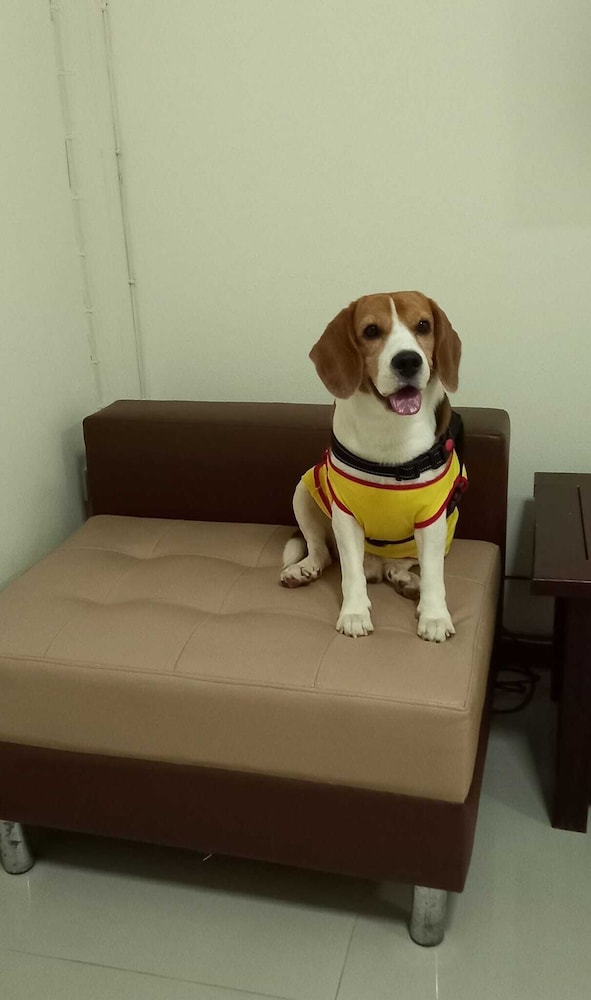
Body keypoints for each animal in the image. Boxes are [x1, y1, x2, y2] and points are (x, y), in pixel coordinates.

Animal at [280, 291, 466, 642]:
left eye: (423, 325)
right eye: (370, 331)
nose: (408, 361)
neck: (390, 427)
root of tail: (377, 566)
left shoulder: (432, 517)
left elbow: (434, 574)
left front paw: (435, 616)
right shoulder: (345, 513)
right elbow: (350, 572)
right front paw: (354, 613)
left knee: (407, 564)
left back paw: (407, 580)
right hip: (304, 490)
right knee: (321, 550)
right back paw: (304, 569)